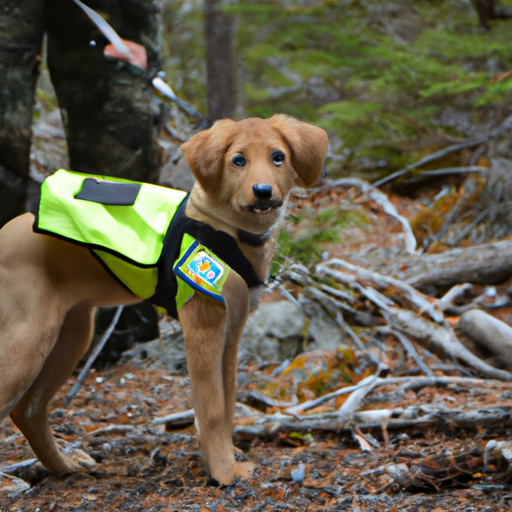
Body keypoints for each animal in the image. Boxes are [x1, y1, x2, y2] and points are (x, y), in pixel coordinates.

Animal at [0, 114, 328, 486]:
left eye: (278, 158)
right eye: (238, 161)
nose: (263, 191)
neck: (228, 230)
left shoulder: (231, 332)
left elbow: (228, 404)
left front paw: (222, 461)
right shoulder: (202, 325)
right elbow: (212, 409)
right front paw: (224, 473)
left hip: (73, 333)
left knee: (28, 411)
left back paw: (66, 466)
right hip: (28, 340)